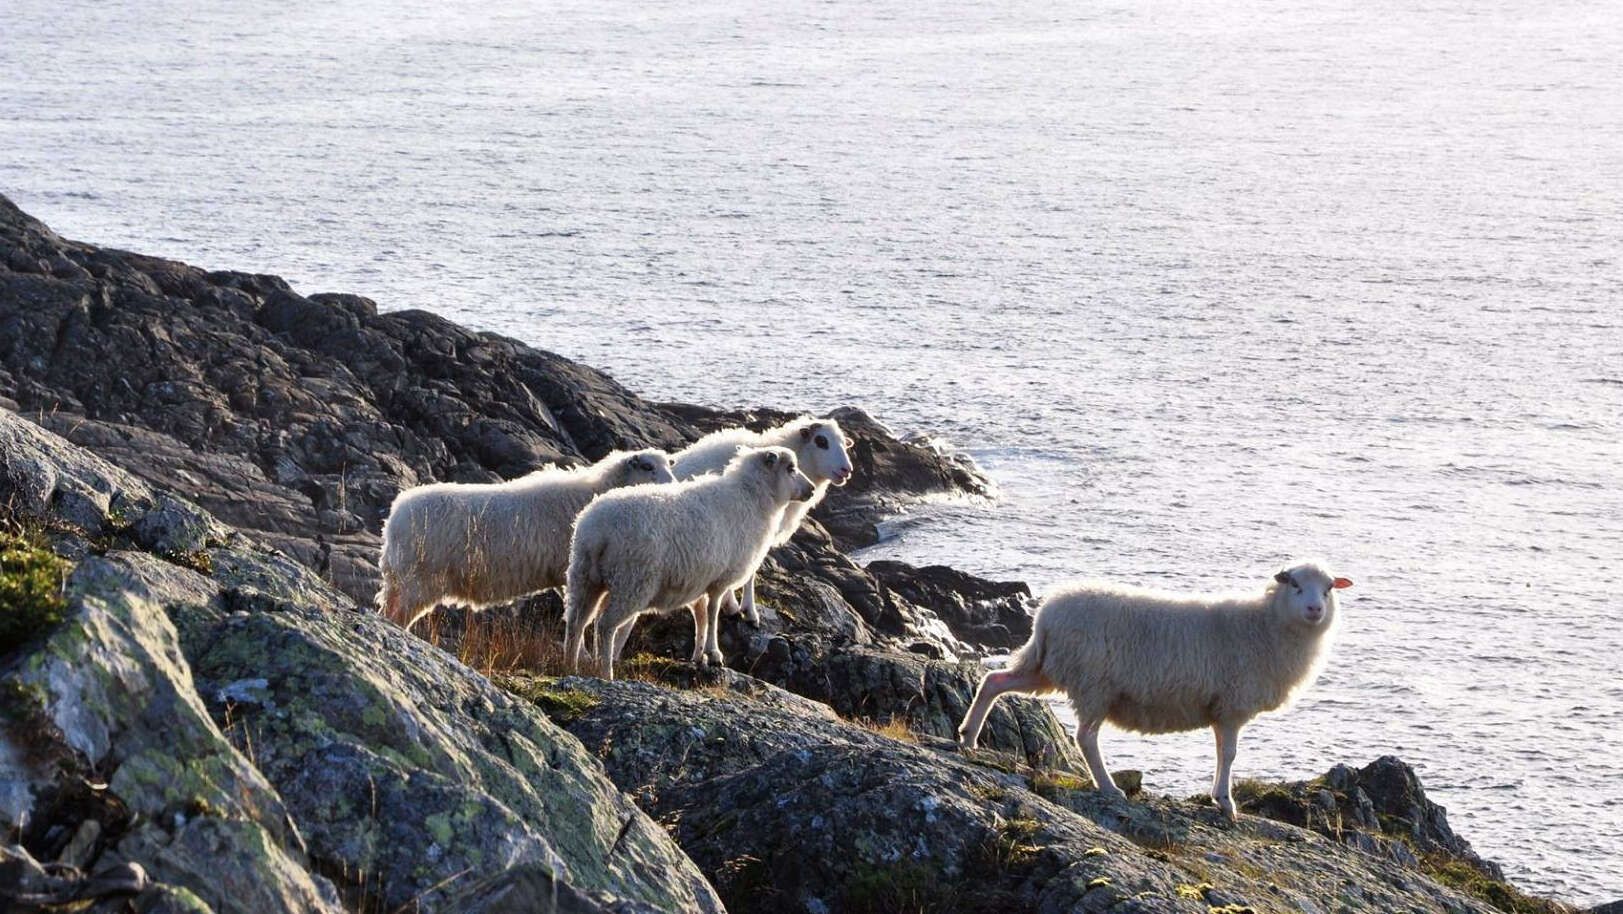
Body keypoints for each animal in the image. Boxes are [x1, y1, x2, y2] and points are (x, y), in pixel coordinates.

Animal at [376, 449, 677, 631]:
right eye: (647, 467)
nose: (675, 487)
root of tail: (394, 518)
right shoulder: (570, 571)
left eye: (668, 464)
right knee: (396, 618)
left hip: (402, 582)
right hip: (418, 581)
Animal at [564, 446, 816, 680]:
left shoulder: (700, 581)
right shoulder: (720, 580)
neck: (753, 498)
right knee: (605, 625)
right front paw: (714, 654)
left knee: (576, 622)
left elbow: (701, 615)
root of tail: (598, 530)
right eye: (790, 468)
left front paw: (699, 655)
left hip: (584, 576)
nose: (812, 490)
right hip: (632, 581)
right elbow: (713, 613)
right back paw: (605, 672)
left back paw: (570, 666)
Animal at [671, 416, 854, 624]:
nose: (847, 470)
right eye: (821, 441)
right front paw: (739, 607)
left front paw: (745, 607)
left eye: (844, 443)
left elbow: (750, 571)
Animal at [957, 561, 1353, 819]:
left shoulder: (1220, 708)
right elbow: (1229, 755)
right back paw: (1108, 787)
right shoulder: (1232, 705)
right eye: (1295, 585)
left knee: (994, 682)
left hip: (1046, 668)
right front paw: (1225, 802)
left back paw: (968, 737)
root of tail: (1045, 614)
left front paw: (1218, 797)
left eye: (1329, 589)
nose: (1315, 608)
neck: (1267, 625)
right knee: (1086, 738)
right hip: (1094, 682)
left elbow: (1222, 753)